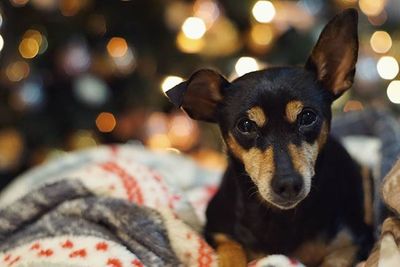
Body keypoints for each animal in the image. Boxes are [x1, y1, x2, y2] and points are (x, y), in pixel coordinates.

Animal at [166, 8, 376, 267]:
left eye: (307, 117)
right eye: (245, 125)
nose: (288, 184)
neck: (279, 218)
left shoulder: (356, 241)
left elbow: (334, 260)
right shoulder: (218, 230)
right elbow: (232, 250)